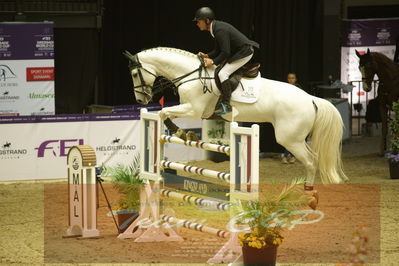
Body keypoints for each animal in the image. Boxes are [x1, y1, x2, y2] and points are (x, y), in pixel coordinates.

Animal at [124, 46, 346, 204]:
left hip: (290, 139)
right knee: (313, 159)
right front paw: (186, 134)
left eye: (134, 74)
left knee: (310, 162)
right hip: (297, 138)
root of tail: (311, 99)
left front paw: (181, 133)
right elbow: (165, 113)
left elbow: (164, 112)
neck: (191, 75)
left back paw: (308, 194)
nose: (141, 101)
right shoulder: (191, 109)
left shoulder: (194, 109)